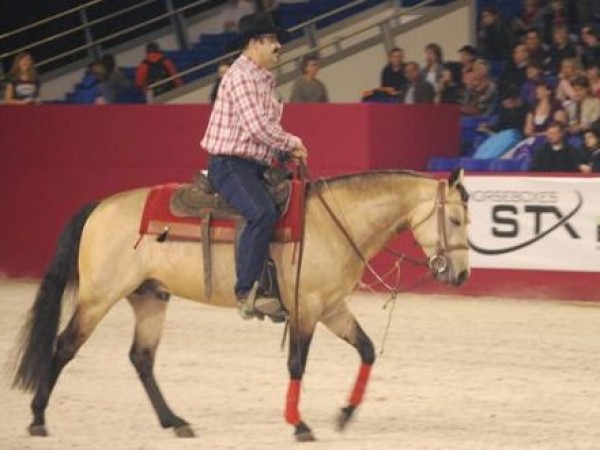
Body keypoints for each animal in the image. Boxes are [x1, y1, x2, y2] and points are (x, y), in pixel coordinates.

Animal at [10, 167, 468, 442]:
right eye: (456, 219)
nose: (461, 275)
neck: (334, 222)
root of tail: (100, 206)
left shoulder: (332, 308)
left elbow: (367, 349)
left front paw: (346, 413)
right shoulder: (306, 309)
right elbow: (296, 365)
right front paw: (299, 424)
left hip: (150, 297)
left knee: (141, 358)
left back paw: (175, 422)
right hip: (98, 297)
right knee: (65, 346)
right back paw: (37, 418)